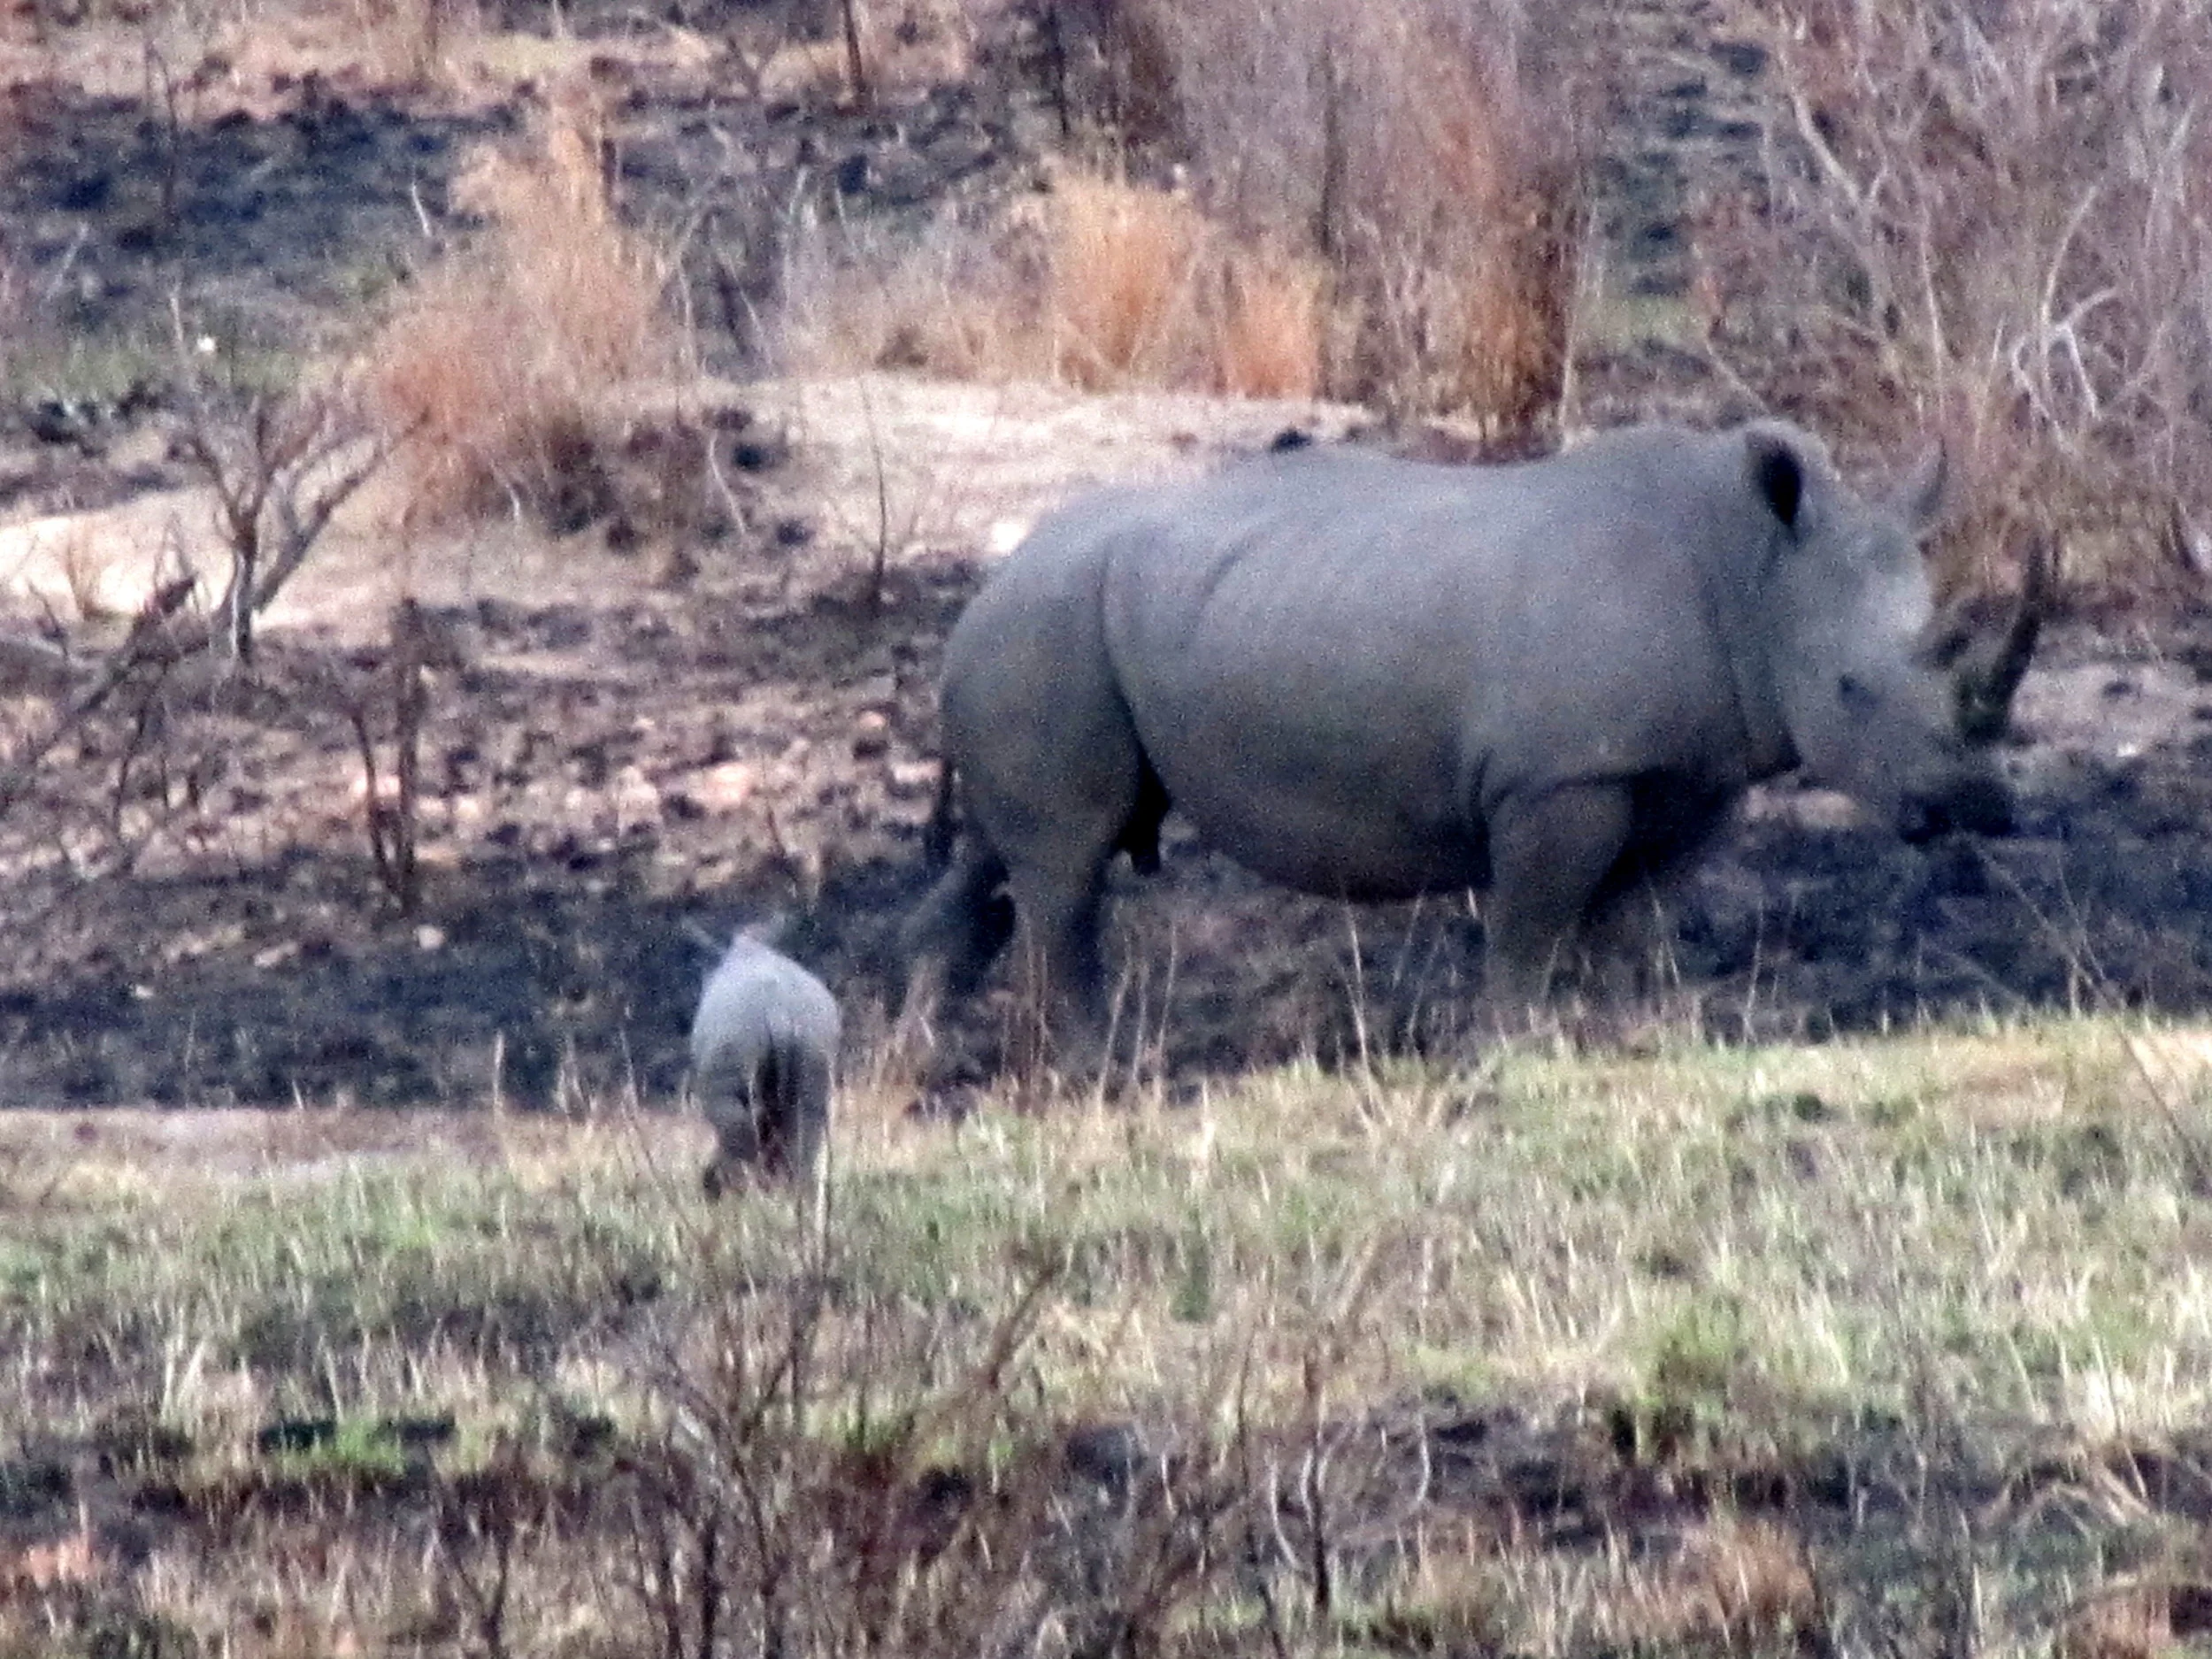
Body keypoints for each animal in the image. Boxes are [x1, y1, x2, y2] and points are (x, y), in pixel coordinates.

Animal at [690, 924, 839, 1195]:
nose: (707, 1187)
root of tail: (777, 1011)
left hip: (737, 1034)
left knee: (740, 1127)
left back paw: (748, 1193)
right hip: (812, 1038)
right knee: (806, 1123)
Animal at [904, 419, 2038, 1059]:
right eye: (1850, 690)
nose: (1978, 808)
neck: (1756, 574)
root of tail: (990, 579)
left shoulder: (1682, 774)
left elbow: (1634, 922)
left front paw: (1641, 1036)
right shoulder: (1556, 779)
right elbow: (1533, 923)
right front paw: (1514, 1048)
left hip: (1046, 629)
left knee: (1005, 855)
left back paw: (918, 1063)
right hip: (1047, 626)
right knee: (1069, 863)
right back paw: (1098, 1069)